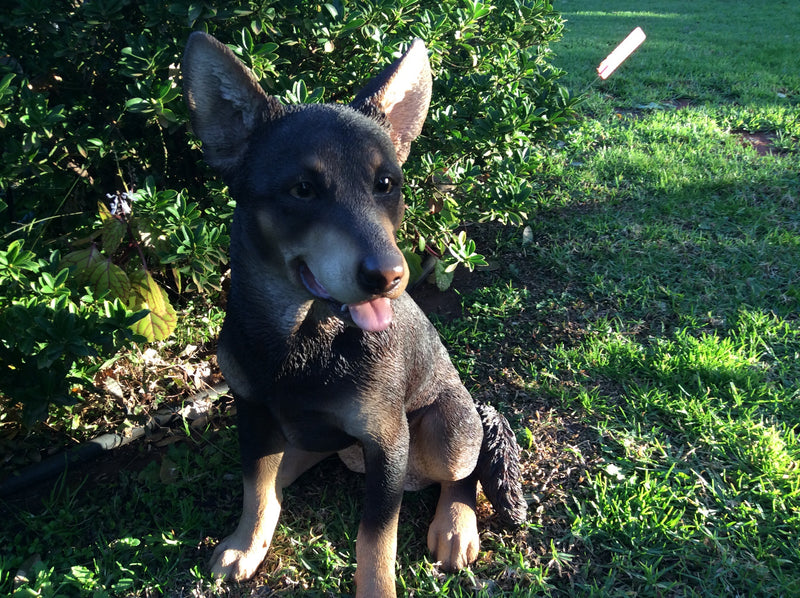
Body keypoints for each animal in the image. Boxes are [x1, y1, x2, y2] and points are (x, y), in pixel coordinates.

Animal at [184, 32, 528, 598]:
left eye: (386, 184)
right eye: (303, 190)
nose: (390, 275)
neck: (301, 340)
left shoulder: (386, 440)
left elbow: (375, 541)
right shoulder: (252, 412)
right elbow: (255, 485)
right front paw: (246, 543)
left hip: (447, 427)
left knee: (465, 471)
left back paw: (455, 525)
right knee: (283, 474)